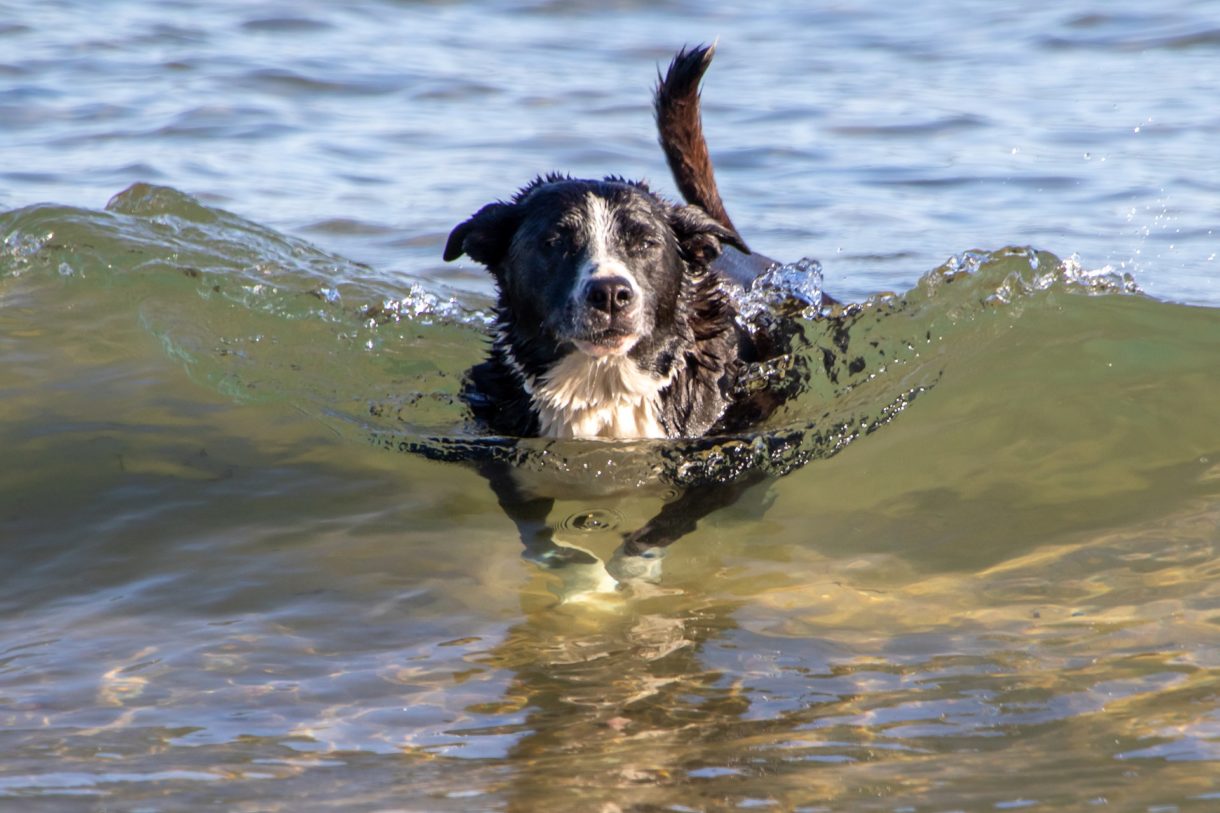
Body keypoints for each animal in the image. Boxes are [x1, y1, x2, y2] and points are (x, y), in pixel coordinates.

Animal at [439, 44, 819, 568]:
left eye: (644, 243)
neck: (603, 384)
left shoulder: (721, 460)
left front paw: (632, 568)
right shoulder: (500, 450)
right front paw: (574, 567)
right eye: (554, 242)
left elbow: (670, 522)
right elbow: (533, 525)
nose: (611, 293)